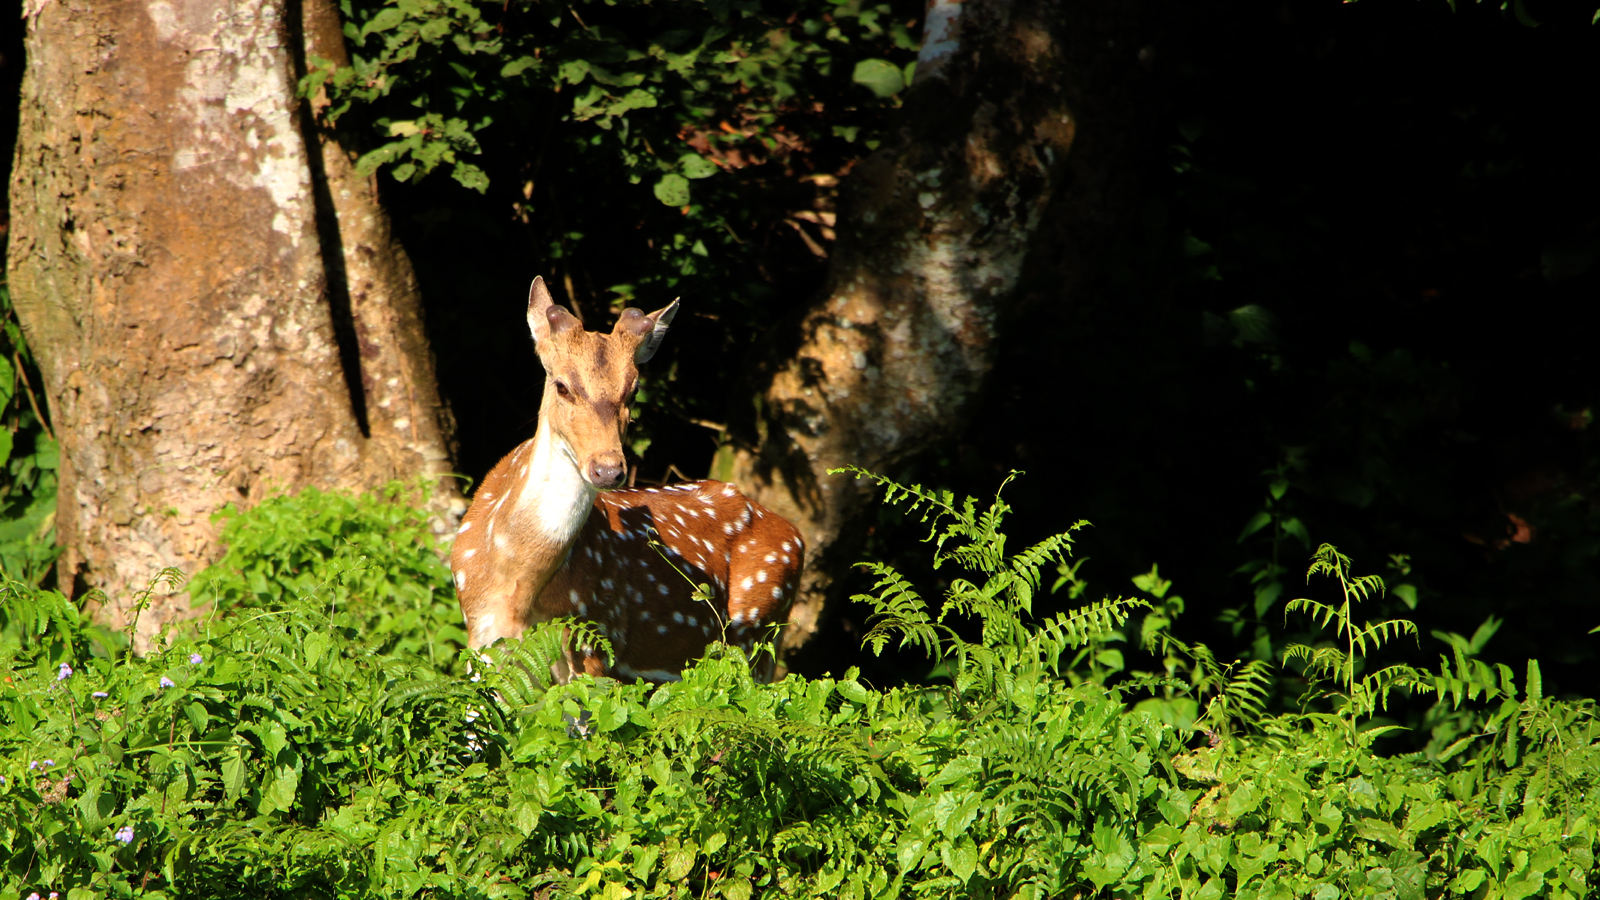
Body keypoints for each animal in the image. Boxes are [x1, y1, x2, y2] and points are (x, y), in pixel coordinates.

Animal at [448, 277, 800, 675]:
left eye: (633, 390)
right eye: (561, 386)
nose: (607, 469)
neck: (515, 587)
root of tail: (796, 534)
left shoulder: (593, 641)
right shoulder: (480, 640)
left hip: (760, 631)